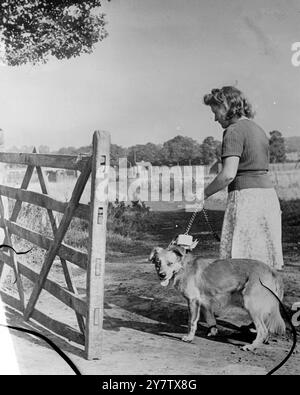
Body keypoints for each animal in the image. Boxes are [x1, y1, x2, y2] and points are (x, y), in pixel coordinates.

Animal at [149, 246, 284, 352]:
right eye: (157, 263)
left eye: (170, 263)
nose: (161, 275)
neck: (183, 267)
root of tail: (272, 271)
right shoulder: (204, 302)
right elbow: (210, 319)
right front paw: (213, 331)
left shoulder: (193, 301)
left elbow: (191, 322)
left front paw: (189, 338)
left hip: (251, 304)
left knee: (263, 330)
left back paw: (252, 346)